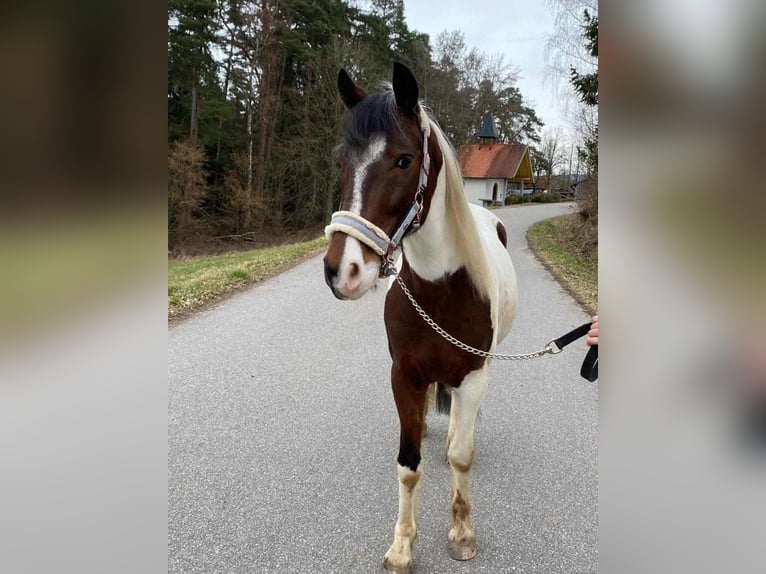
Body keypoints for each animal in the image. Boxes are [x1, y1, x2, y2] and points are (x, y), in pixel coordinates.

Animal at [320, 63, 520, 574]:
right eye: (341, 160)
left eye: (404, 160)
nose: (342, 271)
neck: (442, 288)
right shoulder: (404, 375)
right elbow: (408, 464)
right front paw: (401, 546)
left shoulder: (473, 374)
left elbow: (461, 457)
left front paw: (462, 532)